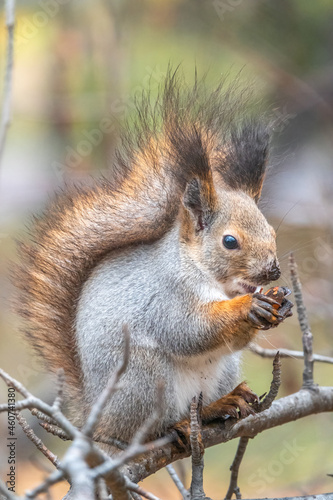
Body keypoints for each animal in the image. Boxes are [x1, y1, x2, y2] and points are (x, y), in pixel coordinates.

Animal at [14, 70, 292, 450]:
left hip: (224, 369)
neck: (212, 279)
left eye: (272, 232)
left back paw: (221, 403)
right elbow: (188, 329)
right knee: (154, 424)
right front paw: (249, 307)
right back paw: (181, 424)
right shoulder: (164, 296)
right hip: (143, 377)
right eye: (230, 241)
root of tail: (97, 421)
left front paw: (279, 304)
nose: (273, 271)